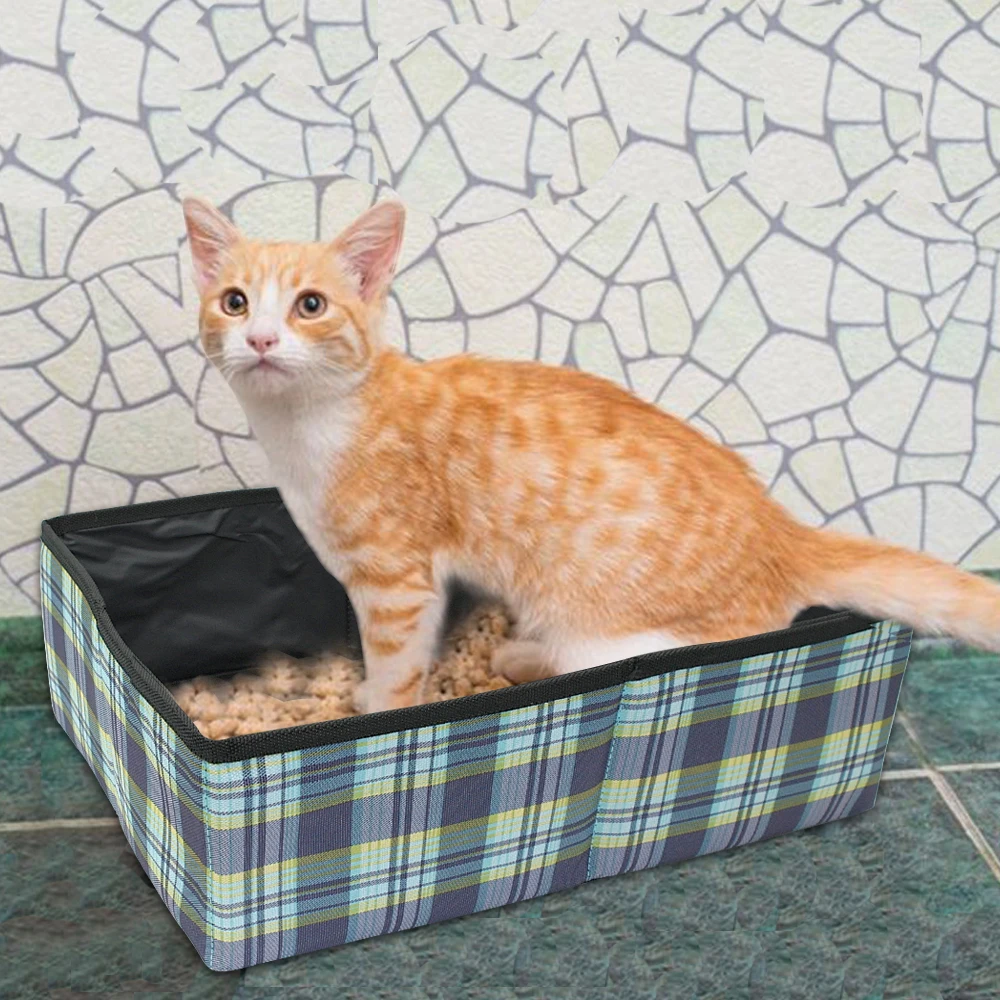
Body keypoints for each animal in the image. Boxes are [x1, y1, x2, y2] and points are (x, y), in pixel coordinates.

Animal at [182, 195, 1000, 715]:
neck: (308, 429)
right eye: (234, 302)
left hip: (615, 636)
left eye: (310, 306)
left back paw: (520, 659)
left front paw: (377, 712)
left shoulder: (395, 582)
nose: (261, 339)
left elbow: (395, 667)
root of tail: (784, 531)